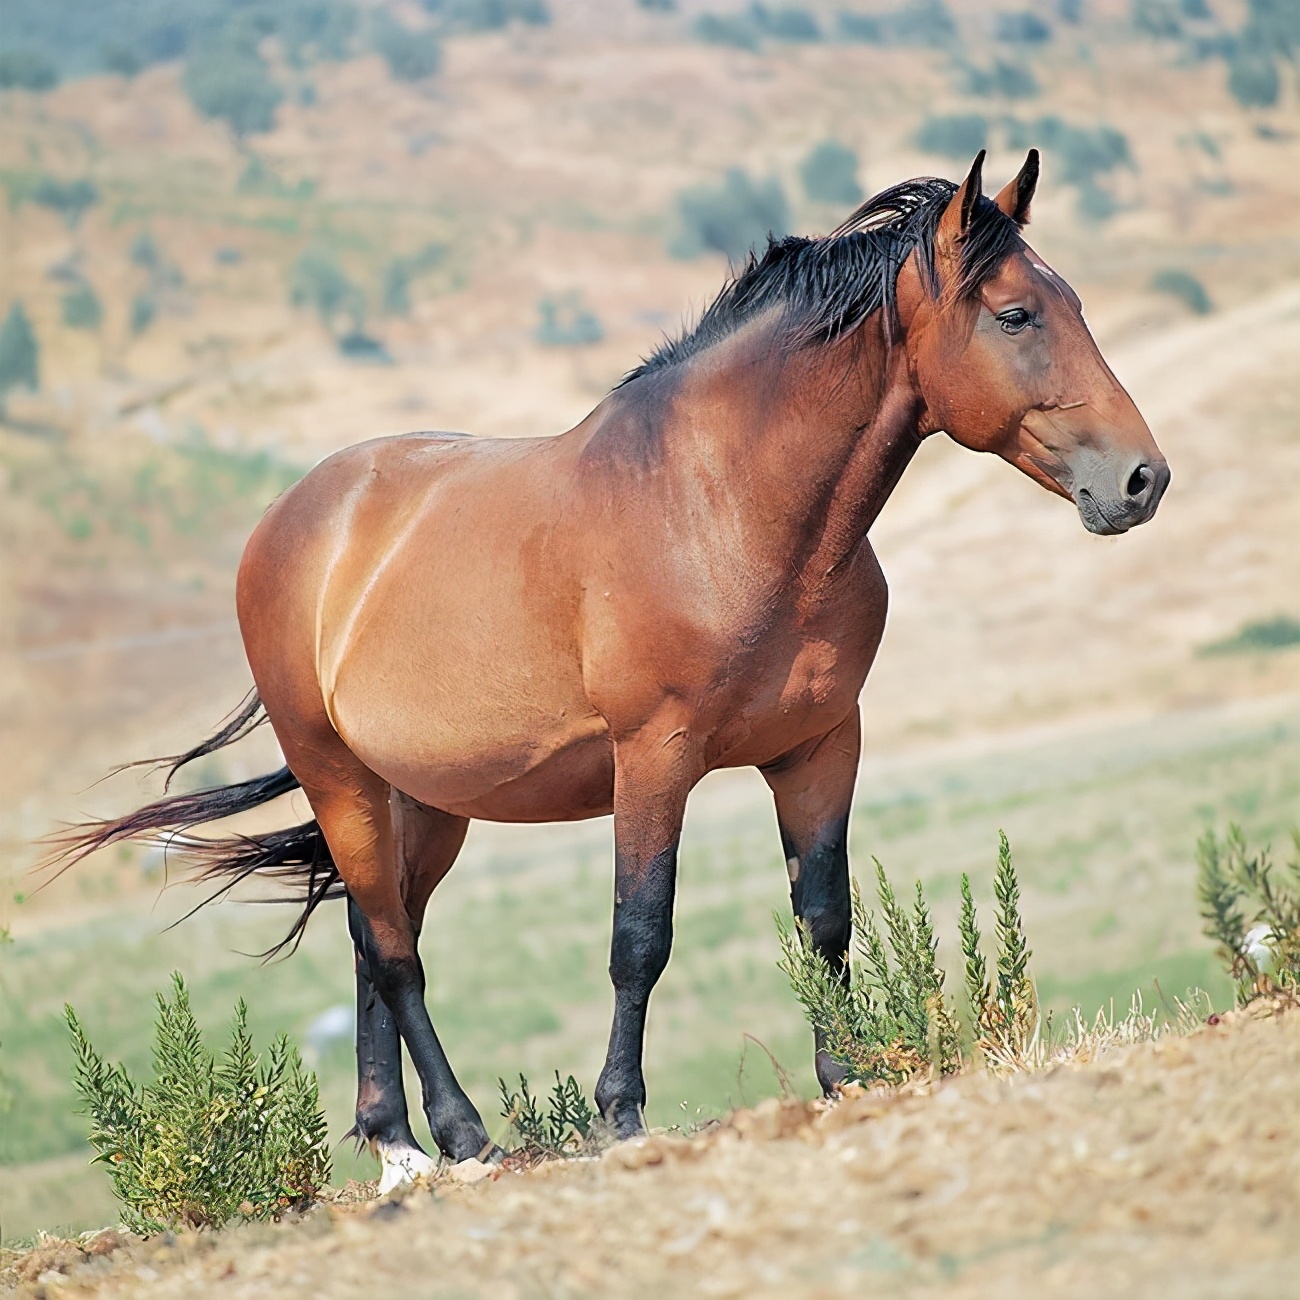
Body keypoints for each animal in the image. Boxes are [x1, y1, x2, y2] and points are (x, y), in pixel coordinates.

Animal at [48, 152, 1170, 1190]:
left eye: (1070, 302)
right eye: (1016, 314)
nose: (1140, 480)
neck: (722, 506)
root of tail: (294, 519)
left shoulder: (820, 748)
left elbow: (824, 922)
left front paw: (846, 1075)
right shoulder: (654, 757)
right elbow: (641, 936)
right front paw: (620, 1113)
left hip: (421, 803)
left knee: (374, 933)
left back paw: (398, 1146)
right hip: (340, 778)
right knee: (398, 953)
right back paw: (461, 1138)